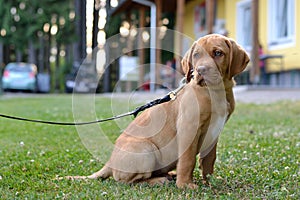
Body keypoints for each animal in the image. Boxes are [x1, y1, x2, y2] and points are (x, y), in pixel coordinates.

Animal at [67, 33, 248, 188]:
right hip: (146, 149)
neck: (215, 92)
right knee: (127, 181)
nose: (201, 70)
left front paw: (209, 182)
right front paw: (185, 185)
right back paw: (159, 180)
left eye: (218, 53)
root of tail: (110, 163)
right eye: (196, 55)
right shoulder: (189, 129)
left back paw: (170, 175)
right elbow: (188, 160)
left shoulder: (214, 132)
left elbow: (209, 160)